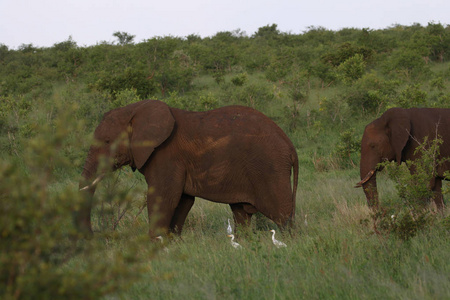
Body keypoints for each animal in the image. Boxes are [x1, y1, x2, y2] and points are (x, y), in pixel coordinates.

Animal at [77, 100, 298, 237]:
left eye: (107, 142)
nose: (93, 235)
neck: (136, 110)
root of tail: (290, 145)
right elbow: (182, 200)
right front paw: (171, 242)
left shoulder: (166, 155)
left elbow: (163, 197)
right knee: (241, 213)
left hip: (270, 168)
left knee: (281, 215)